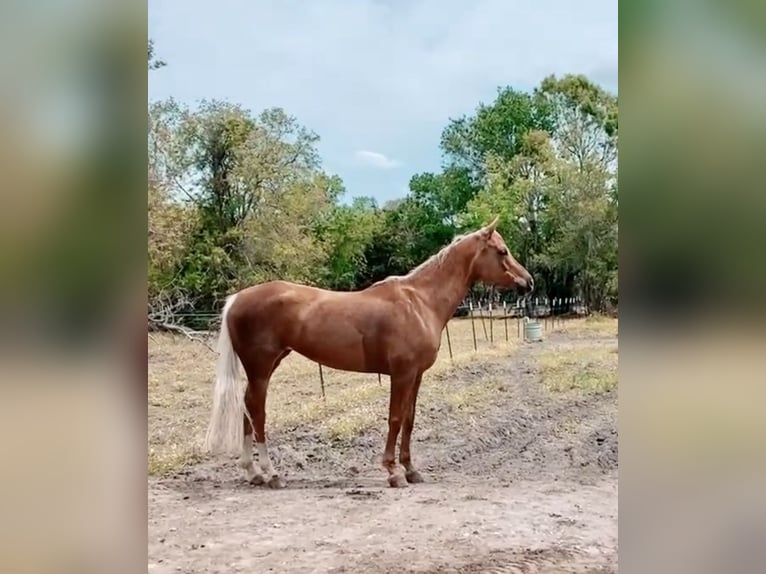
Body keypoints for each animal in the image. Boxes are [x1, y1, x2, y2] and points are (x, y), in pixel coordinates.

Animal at [204, 218, 536, 488]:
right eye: (502, 251)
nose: (529, 282)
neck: (420, 302)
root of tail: (237, 298)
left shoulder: (415, 376)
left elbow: (409, 419)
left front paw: (411, 470)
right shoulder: (401, 374)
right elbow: (394, 418)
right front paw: (392, 472)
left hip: (265, 367)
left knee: (247, 410)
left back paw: (254, 473)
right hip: (261, 369)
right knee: (257, 412)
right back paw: (272, 474)